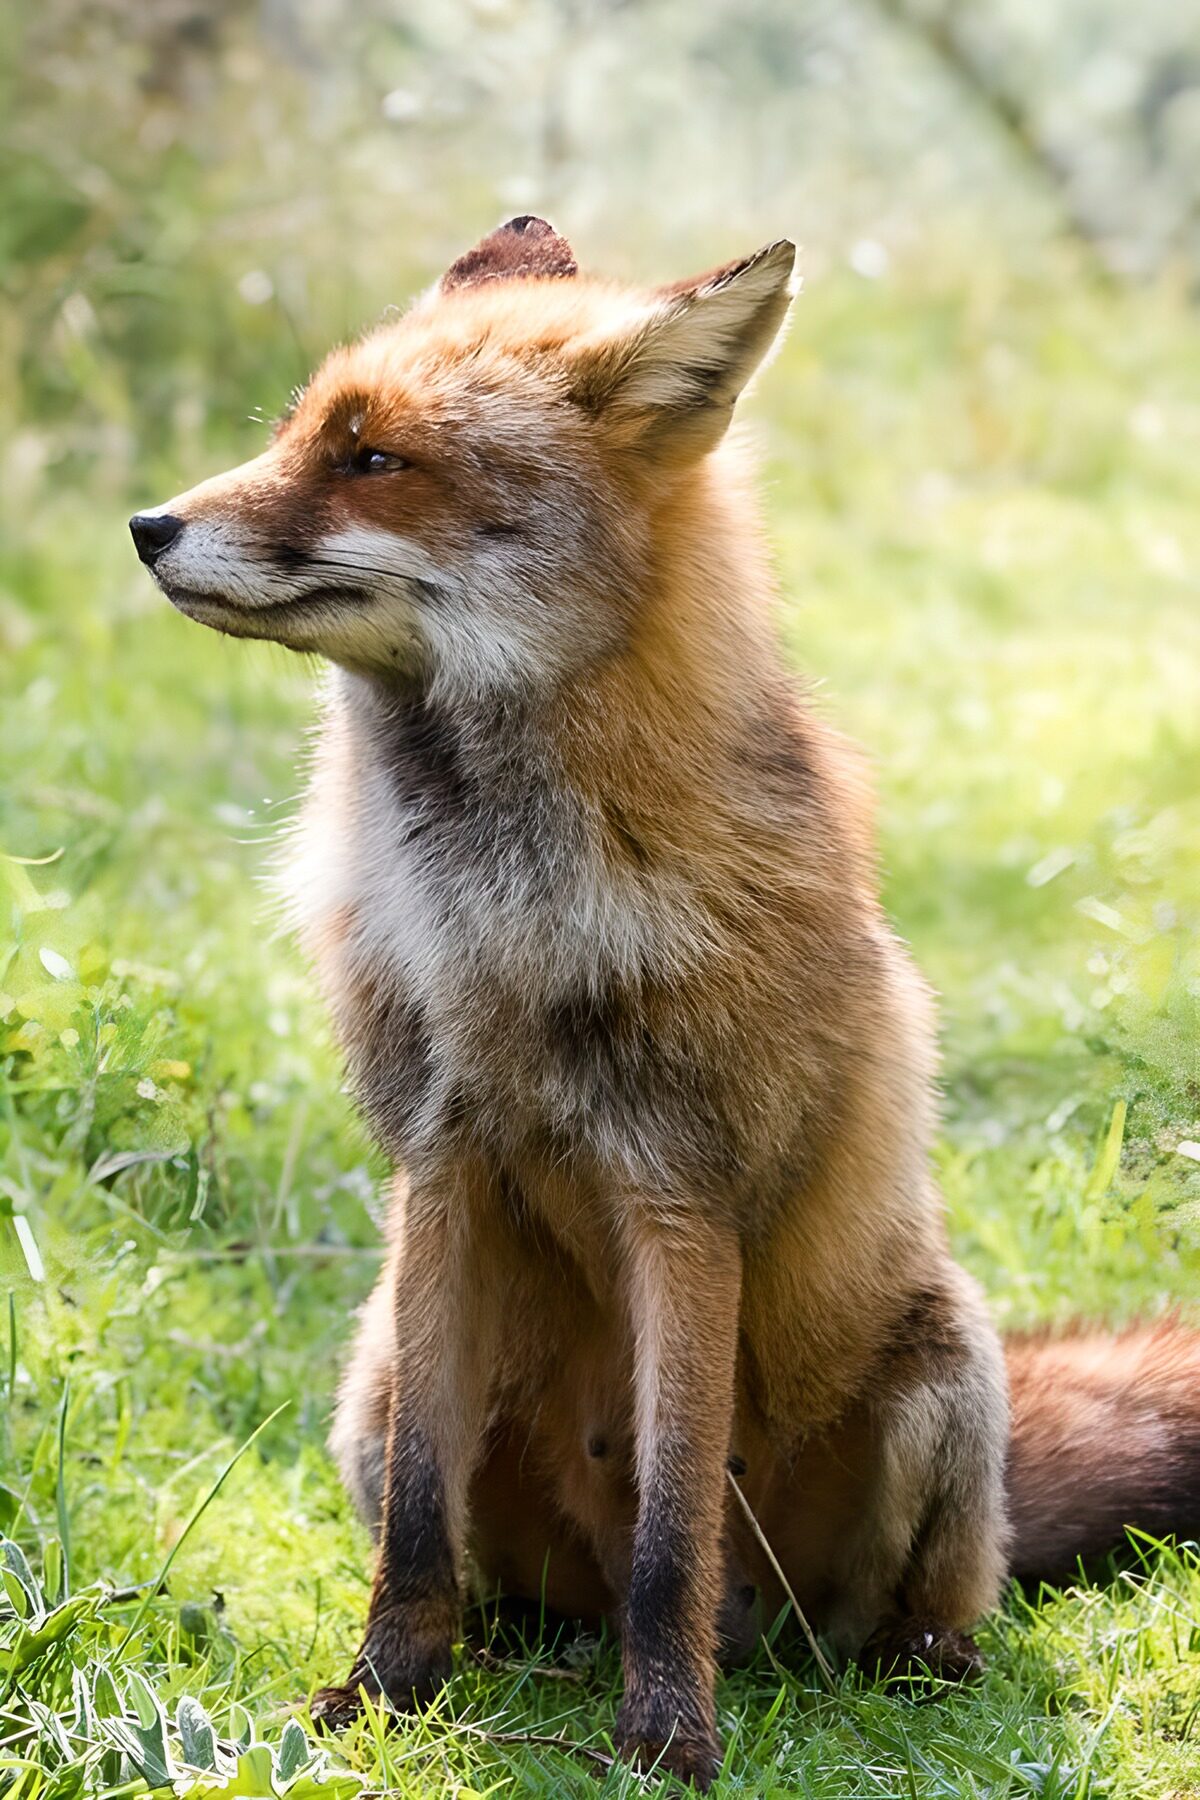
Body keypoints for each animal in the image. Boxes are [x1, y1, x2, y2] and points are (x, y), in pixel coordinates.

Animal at [130, 216, 1200, 1789]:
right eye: (295, 433)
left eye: (373, 458)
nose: (146, 526)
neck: (504, 916)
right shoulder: (436, 1167)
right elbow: (416, 1529)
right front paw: (385, 1695)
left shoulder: (683, 1190)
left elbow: (673, 1525)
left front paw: (671, 1742)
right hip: (374, 1381)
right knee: (492, 1552)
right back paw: (503, 1650)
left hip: (943, 1380)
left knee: (917, 1601)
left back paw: (910, 1669)